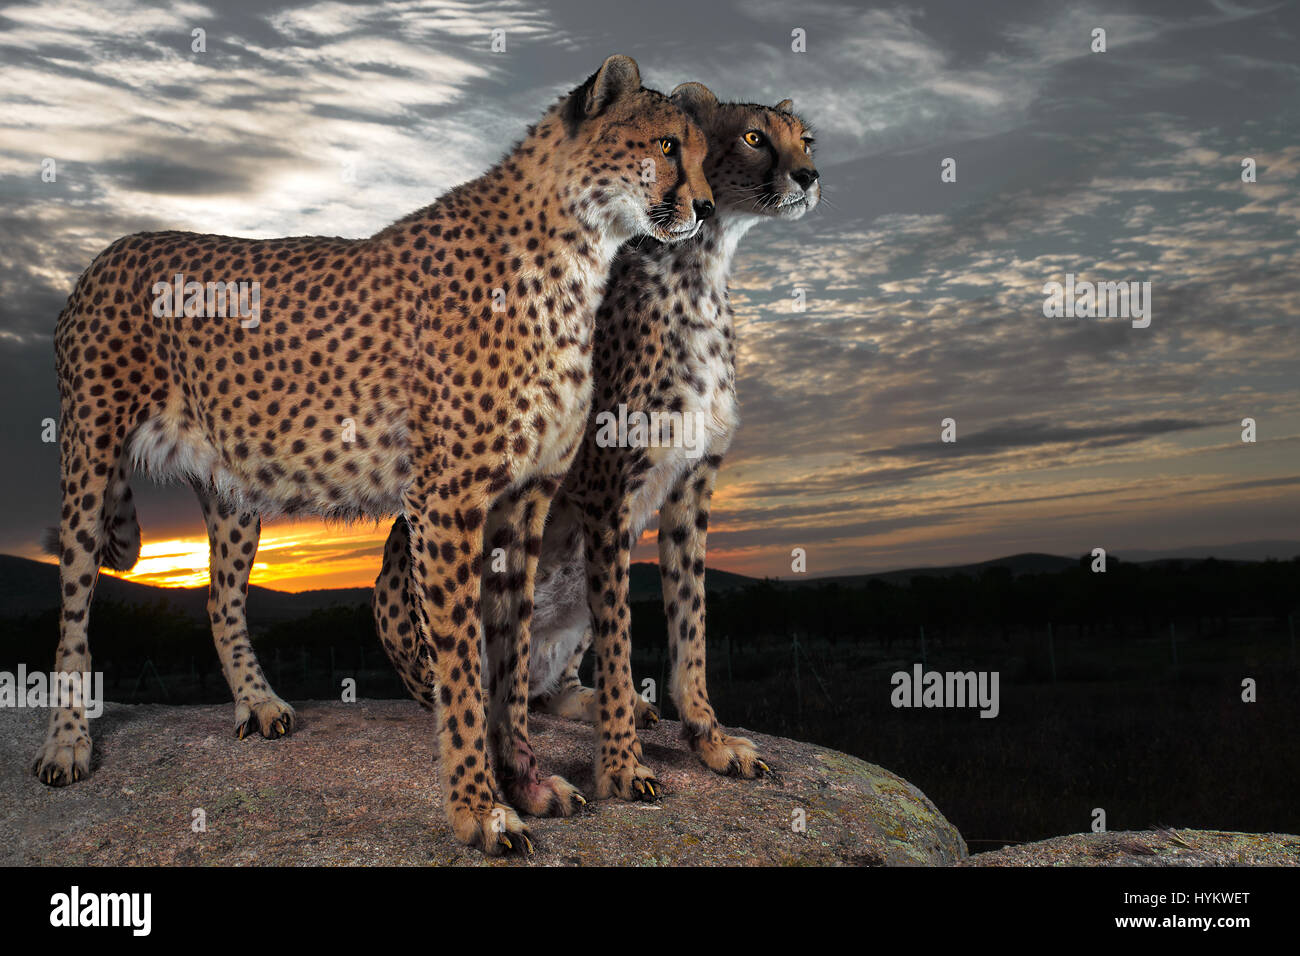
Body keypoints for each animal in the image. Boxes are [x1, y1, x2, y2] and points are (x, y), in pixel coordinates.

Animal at [38, 55, 712, 858]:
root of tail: (108, 251)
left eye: (706, 152)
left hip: (233, 490)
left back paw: (258, 704)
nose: (707, 207)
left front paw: (525, 781)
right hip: (89, 456)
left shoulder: (526, 499)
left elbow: (512, 660)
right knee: (73, 604)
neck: (580, 251)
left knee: (219, 597)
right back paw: (66, 744)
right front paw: (478, 810)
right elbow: (463, 666)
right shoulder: (446, 500)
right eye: (667, 145)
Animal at [374, 83, 821, 801]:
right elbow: (620, 642)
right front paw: (622, 766)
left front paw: (709, 741)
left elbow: (690, 627)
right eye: (754, 137)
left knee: (540, 689)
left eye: (805, 139)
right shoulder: (606, 494)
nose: (809, 176)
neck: (700, 268)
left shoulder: (691, 488)